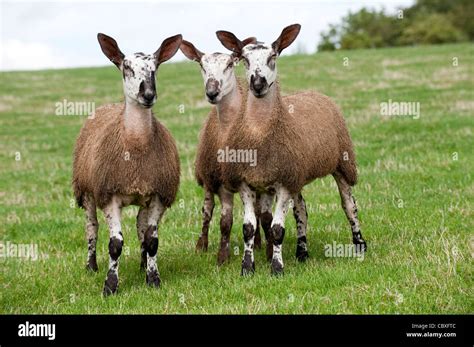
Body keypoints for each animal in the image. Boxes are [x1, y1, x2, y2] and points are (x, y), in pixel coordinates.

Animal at [73, 32, 182, 294]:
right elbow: (115, 244)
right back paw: (91, 266)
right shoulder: (109, 195)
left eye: (155, 68)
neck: (136, 145)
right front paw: (110, 286)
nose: (148, 95)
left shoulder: (158, 194)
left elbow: (152, 241)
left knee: (141, 227)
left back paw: (143, 265)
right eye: (127, 68)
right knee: (91, 228)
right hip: (86, 190)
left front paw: (153, 279)